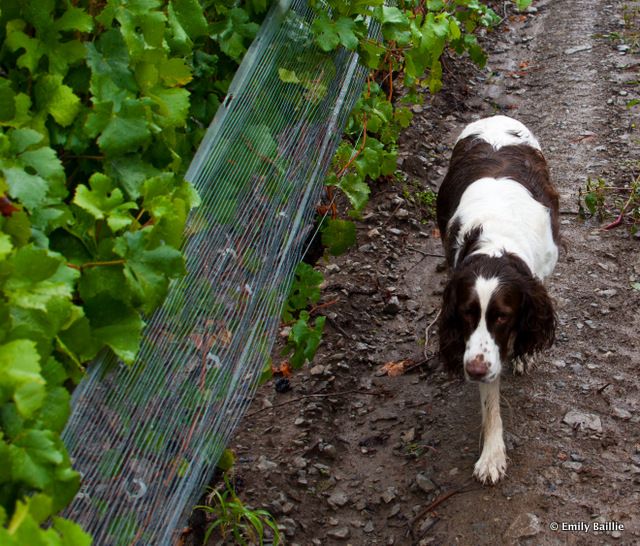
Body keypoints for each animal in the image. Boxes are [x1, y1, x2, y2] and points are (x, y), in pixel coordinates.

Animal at [436, 115, 560, 480]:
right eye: (465, 313)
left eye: (503, 316)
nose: (474, 370)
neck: (496, 245)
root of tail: (496, 117)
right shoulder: (479, 349)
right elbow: (490, 400)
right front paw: (492, 454)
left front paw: (522, 355)